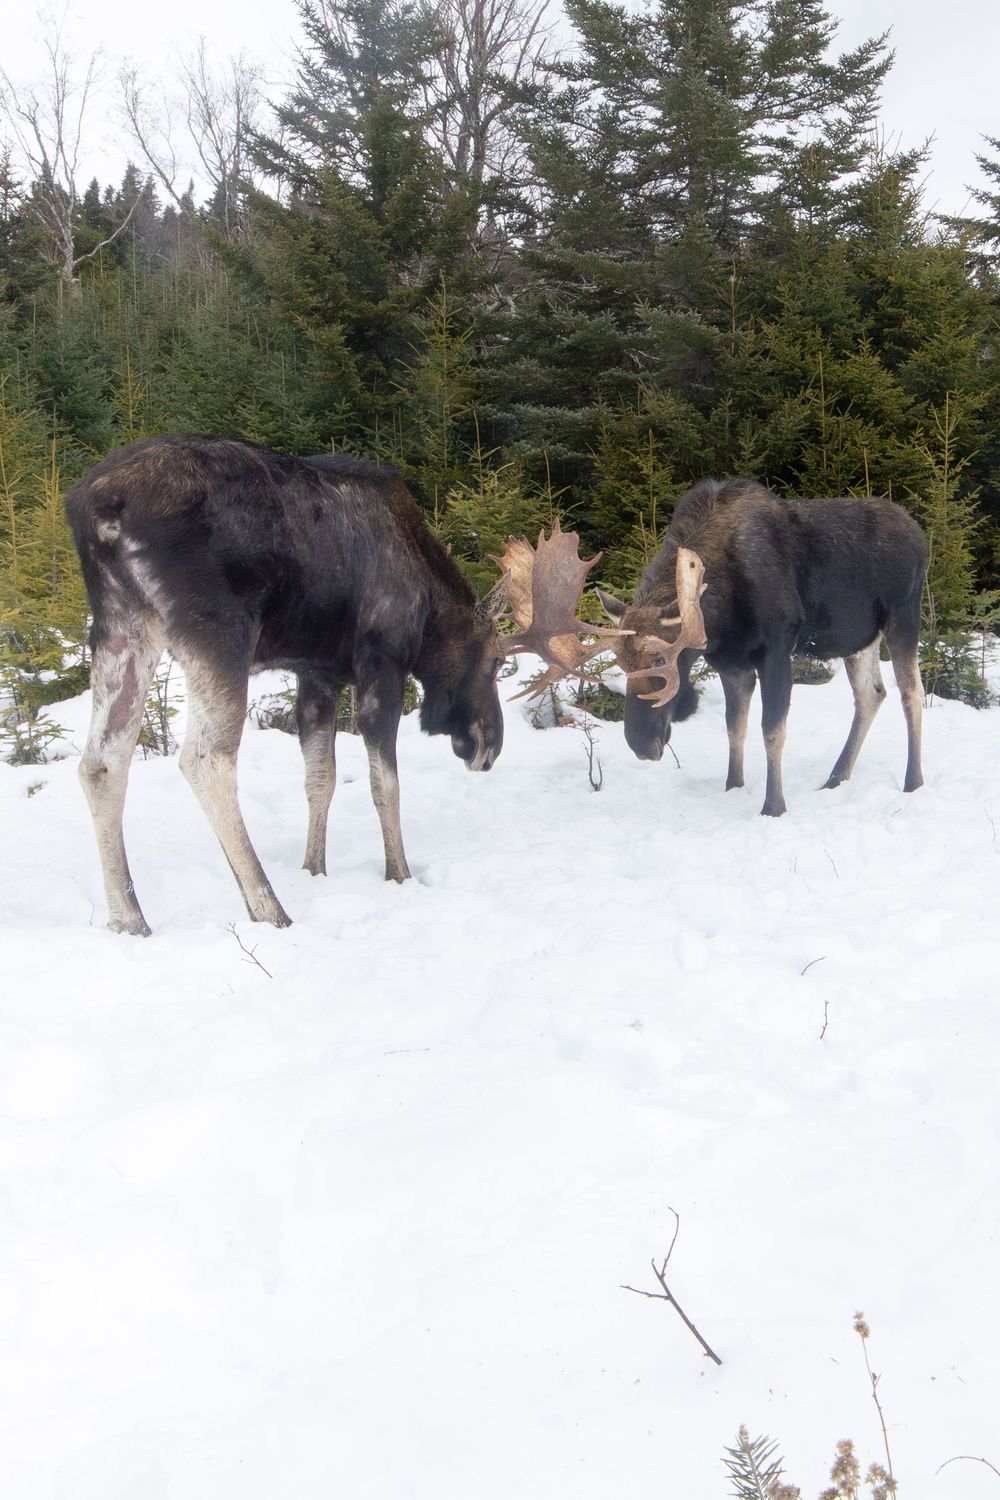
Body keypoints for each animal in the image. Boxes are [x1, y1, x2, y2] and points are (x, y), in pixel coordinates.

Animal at [65, 435, 612, 935]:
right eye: (497, 662)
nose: (489, 746)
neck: (426, 608)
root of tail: (96, 509)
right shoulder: (380, 663)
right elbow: (384, 783)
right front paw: (399, 873)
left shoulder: (316, 674)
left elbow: (319, 779)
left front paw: (315, 867)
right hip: (219, 632)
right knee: (205, 759)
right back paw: (268, 907)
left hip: (121, 628)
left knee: (101, 763)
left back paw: (129, 918)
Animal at [597, 477, 928, 816]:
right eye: (620, 662)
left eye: (660, 660)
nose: (641, 745)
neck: (719, 617)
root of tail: (919, 534)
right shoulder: (731, 663)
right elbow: (734, 727)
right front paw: (733, 786)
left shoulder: (776, 650)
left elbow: (772, 730)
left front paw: (773, 806)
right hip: (858, 639)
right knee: (871, 693)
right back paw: (836, 777)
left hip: (904, 614)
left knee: (912, 693)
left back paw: (913, 781)